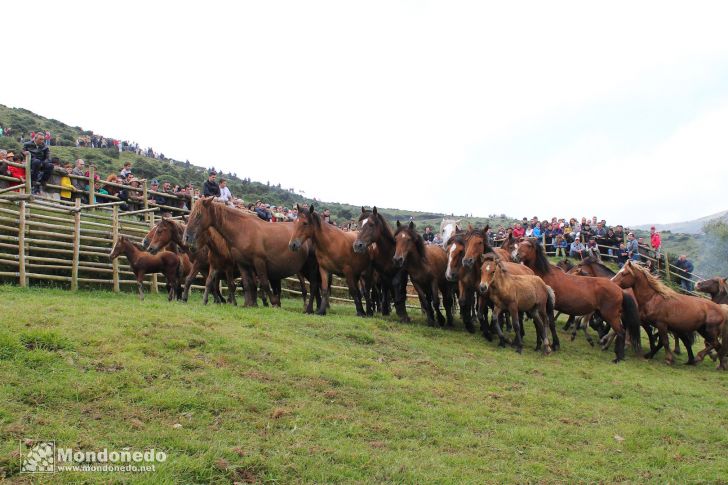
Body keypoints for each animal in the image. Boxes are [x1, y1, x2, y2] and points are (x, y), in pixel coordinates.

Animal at [183, 199, 320, 312]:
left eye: (198, 214)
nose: (186, 237)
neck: (243, 230)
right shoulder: (242, 264)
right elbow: (248, 284)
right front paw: (250, 304)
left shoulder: (259, 261)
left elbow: (263, 283)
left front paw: (273, 302)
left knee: (313, 285)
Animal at [512, 236, 644, 362]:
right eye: (519, 243)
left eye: (529, 246)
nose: (515, 256)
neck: (544, 276)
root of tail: (620, 290)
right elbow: (546, 324)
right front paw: (551, 344)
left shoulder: (546, 306)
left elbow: (548, 324)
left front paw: (552, 345)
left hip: (610, 315)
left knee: (621, 332)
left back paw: (618, 356)